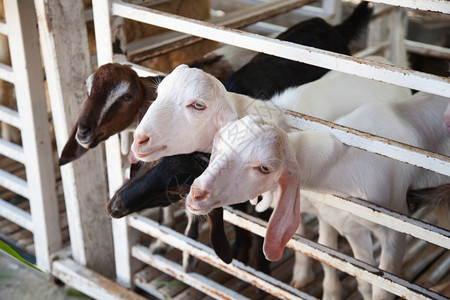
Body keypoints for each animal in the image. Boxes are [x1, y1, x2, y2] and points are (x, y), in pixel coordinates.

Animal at [185, 93, 448, 300]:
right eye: (220, 145)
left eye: (265, 168)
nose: (197, 194)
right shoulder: (353, 229)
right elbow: (365, 283)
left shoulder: (395, 234)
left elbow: (382, 290)